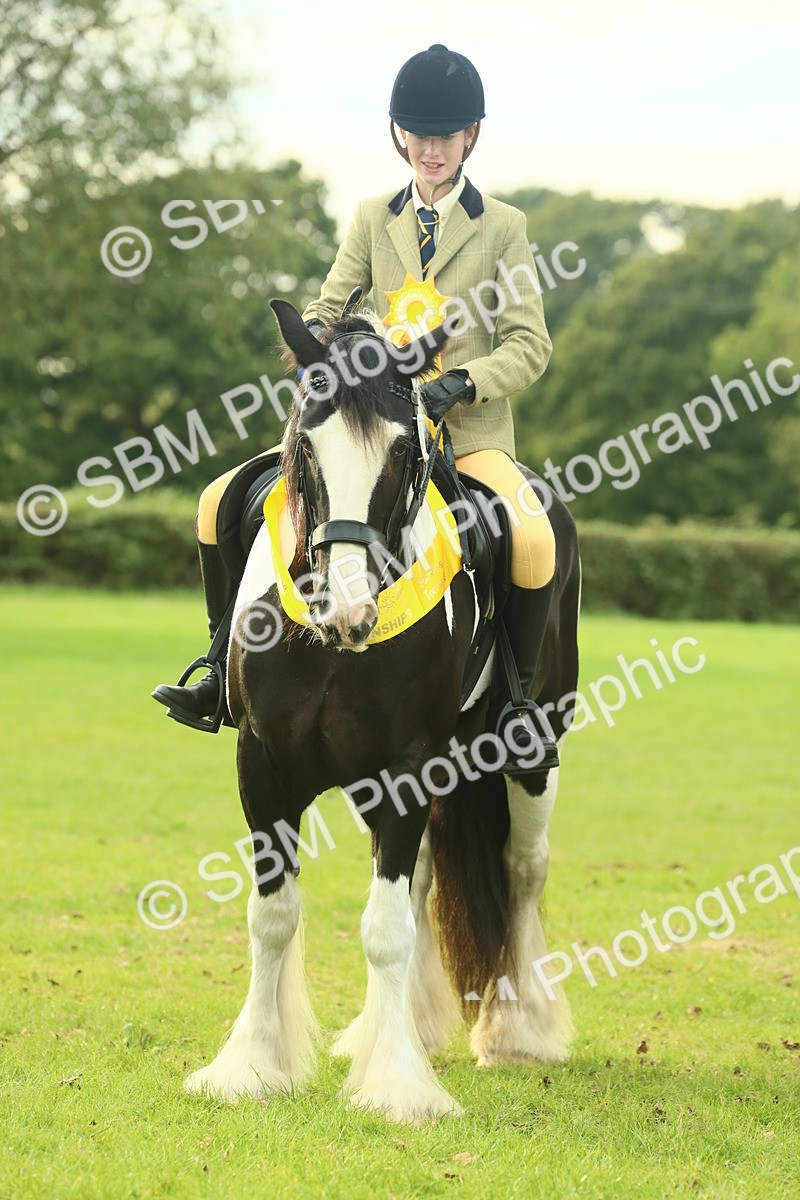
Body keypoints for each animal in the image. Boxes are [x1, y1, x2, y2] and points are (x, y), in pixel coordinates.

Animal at [183, 298, 581, 1123]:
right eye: (307, 444)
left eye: (404, 454)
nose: (348, 613)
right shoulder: (262, 765)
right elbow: (273, 915)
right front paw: (250, 1066)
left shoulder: (406, 767)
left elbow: (386, 927)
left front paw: (397, 1086)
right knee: (427, 873)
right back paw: (411, 1025)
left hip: (532, 751)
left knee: (523, 869)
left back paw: (518, 1029)